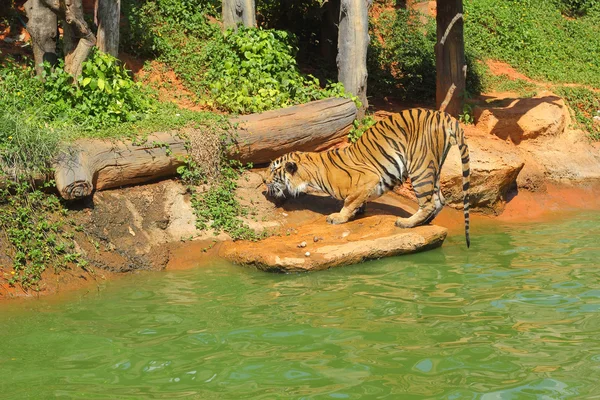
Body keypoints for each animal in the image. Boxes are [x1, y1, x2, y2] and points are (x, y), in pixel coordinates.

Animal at [264, 108, 472, 245]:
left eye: (273, 171)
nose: (263, 181)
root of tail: (443, 115)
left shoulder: (368, 178)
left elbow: (349, 202)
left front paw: (339, 217)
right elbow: (356, 201)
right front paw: (358, 211)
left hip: (420, 167)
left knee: (428, 202)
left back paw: (406, 222)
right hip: (433, 168)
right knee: (439, 200)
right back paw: (424, 221)